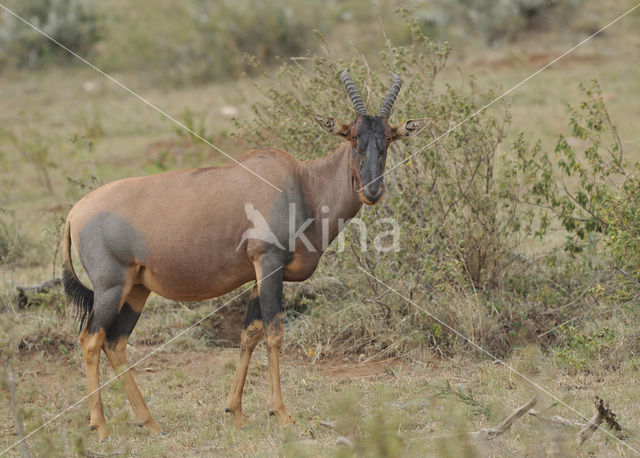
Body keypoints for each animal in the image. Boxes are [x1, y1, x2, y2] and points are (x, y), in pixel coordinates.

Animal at [62, 68, 428, 440]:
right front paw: (282, 413)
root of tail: (74, 213)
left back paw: (151, 423)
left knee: (115, 342)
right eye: (353, 137)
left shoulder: (260, 272)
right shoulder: (269, 262)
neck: (302, 183)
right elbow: (274, 332)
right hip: (111, 286)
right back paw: (101, 426)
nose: (373, 191)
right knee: (91, 339)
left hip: (137, 288)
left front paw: (235, 412)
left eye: (389, 138)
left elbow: (249, 333)